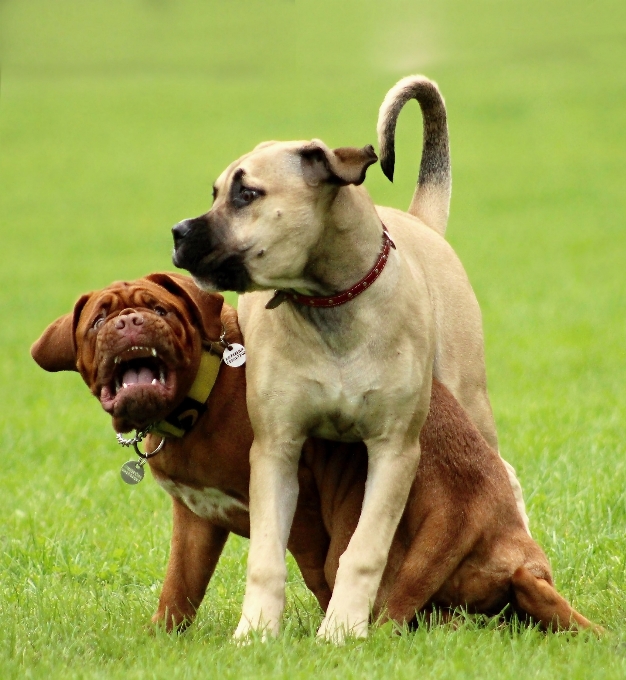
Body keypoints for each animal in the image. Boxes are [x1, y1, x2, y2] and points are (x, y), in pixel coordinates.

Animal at [30, 274, 596, 636]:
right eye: (98, 320)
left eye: (161, 310)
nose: (130, 321)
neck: (201, 393)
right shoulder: (195, 520)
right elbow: (179, 587)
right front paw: (161, 639)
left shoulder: (298, 502)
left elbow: (297, 570)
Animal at [169, 77, 528, 640]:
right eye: (216, 193)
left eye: (247, 194)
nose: (178, 233)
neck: (330, 304)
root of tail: (422, 222)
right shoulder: (275, 449)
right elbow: (266, 554)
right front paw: (255, 632)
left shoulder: (395, 451)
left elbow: (365, 549)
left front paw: (342, 630)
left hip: (470, 400)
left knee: (503, 473)